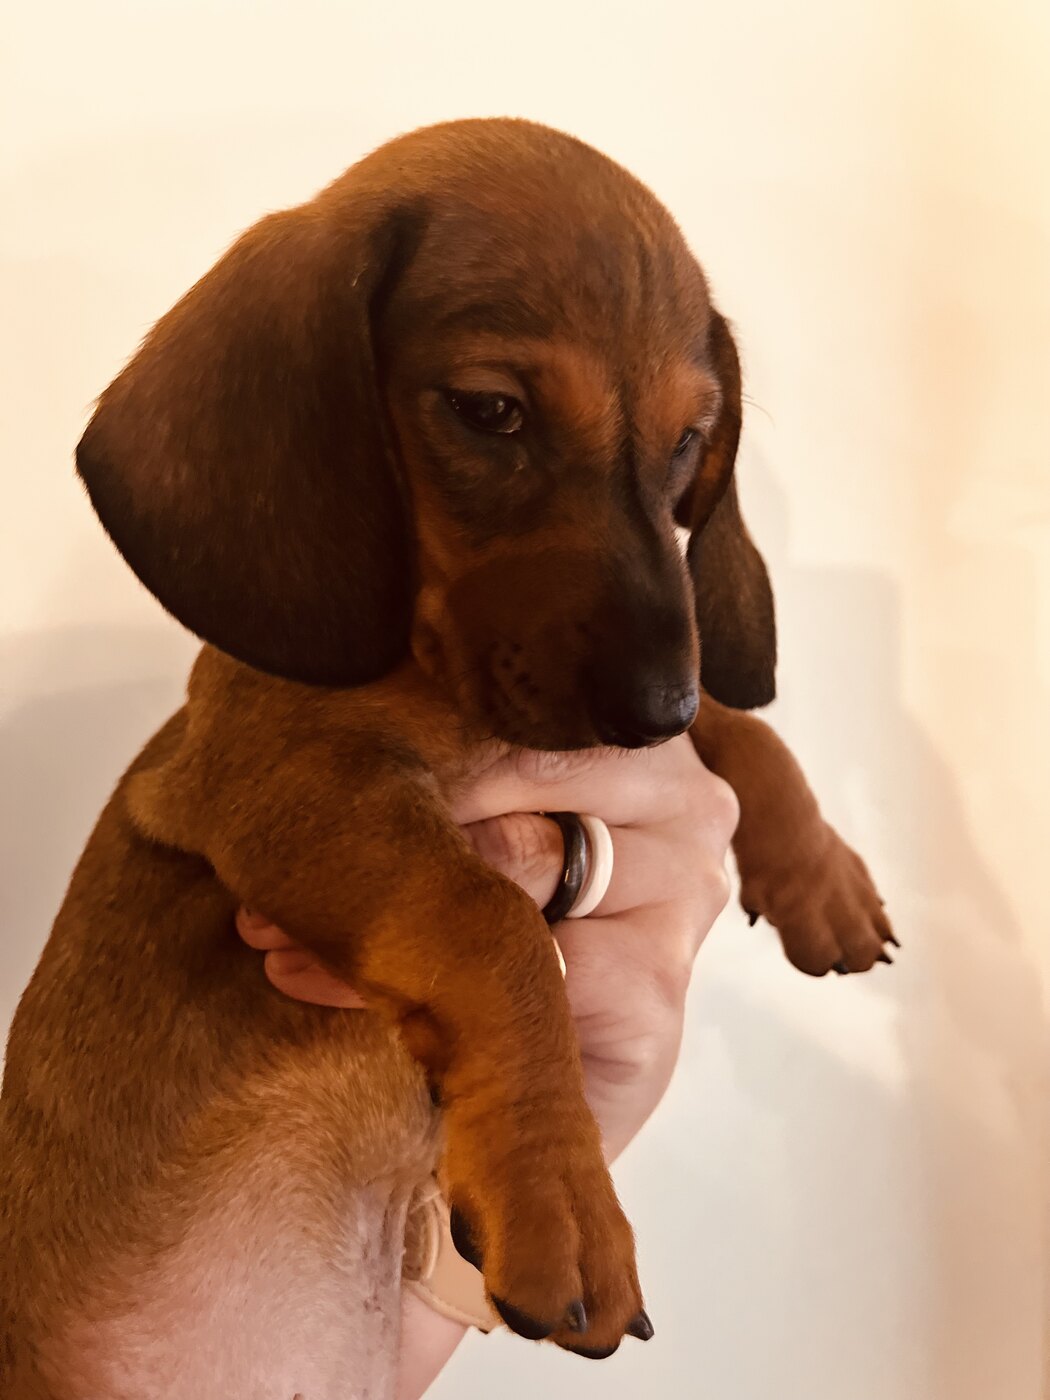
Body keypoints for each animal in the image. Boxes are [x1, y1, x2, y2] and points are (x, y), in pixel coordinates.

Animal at [0, 118, 895, 1398]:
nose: (654, 705)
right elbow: (496, 922)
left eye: (690, 440)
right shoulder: (286, 779)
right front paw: (563, 1196)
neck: (438, 676)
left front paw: (818, 870)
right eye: (490, 411)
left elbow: (744, 728)